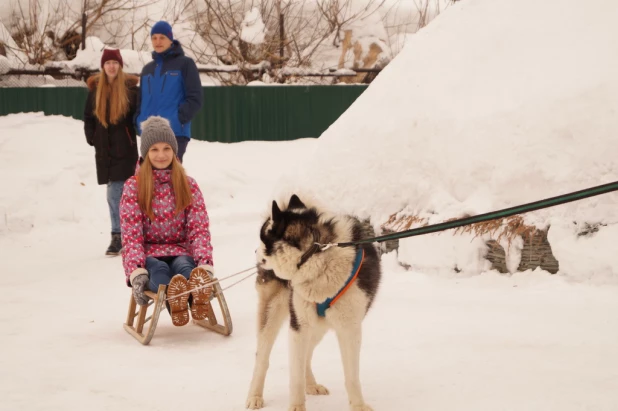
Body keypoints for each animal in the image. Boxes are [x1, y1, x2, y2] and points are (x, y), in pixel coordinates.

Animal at [245, 195, 380, 411]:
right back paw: (254, 396)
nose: (255, 250)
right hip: (275, 313)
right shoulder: (298, 326)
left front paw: (358, 405)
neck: (317, 251)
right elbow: (295, 376)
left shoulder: (350, 329)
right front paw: (296, 406)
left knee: (307, 354)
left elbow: (352, 376)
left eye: (262, 238)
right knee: (262, 358)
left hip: (318, 326)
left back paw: (311, 385)